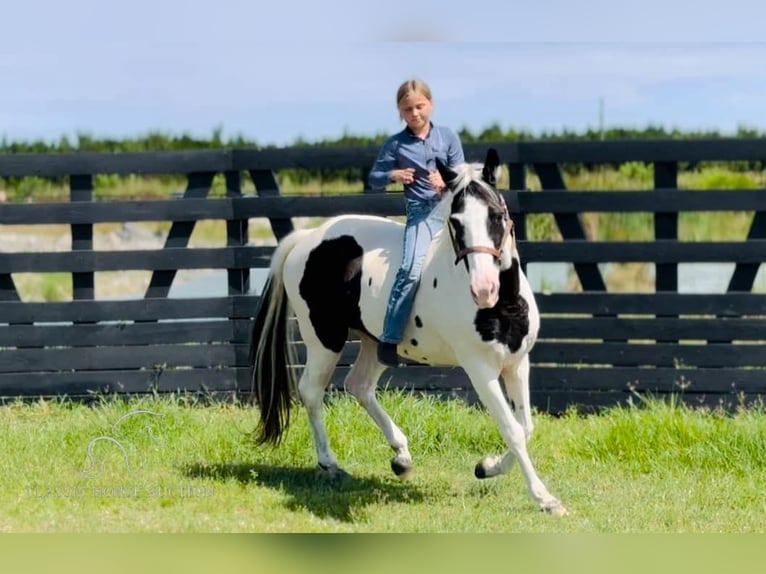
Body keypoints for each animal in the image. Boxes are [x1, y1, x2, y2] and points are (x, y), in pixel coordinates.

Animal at [249, 148, 568, 516]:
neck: (503, 307)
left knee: (359, 386)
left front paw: (486, 467)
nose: (484, 289)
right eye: (456, 222)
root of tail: (309, 238)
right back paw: (330, 464)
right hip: (324, 340)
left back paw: (401, 457)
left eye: (497, 215)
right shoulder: (480, 369)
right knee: (312, 392)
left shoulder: (517, 364)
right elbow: (512, 429)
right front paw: (545, 498)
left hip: (374, 343)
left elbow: (526, 426)